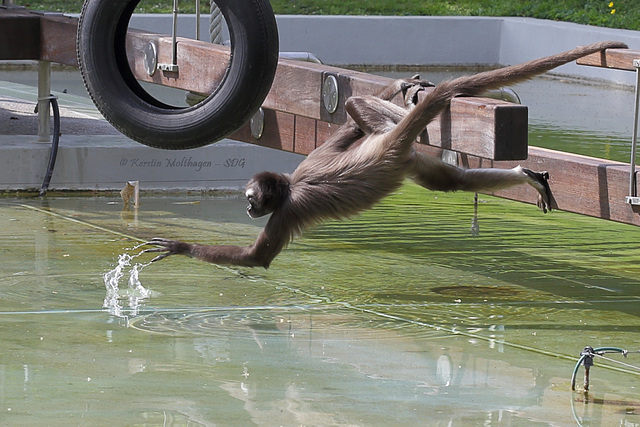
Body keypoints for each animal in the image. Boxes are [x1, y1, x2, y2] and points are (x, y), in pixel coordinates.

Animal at [142, 40, 628, 268]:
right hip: (402, 151)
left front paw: (180, 247)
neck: (292, 186)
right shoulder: (309, 162)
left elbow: (255, 259)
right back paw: (527, 175)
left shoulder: (287, 209)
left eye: (251, 200)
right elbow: (345, 125)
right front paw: (397, 85)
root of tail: (389, 146)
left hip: (398, 148)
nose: (245, 209)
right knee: (443, 174)